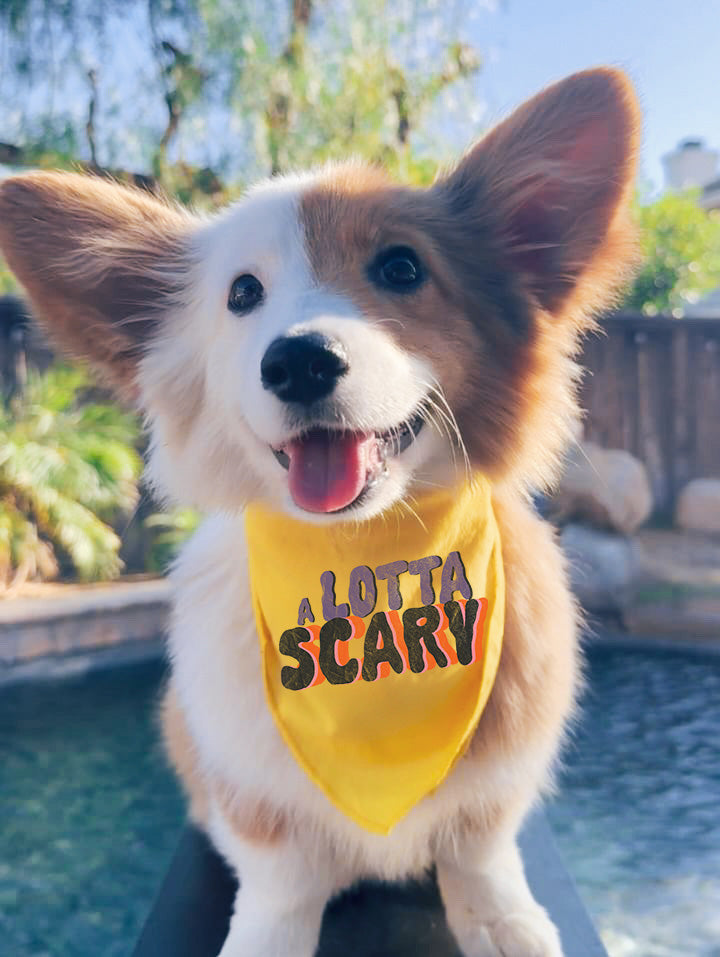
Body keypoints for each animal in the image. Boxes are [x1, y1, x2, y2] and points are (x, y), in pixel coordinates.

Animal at [0, 69, 640, 956]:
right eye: (242, 294)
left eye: (402, 267)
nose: (299, 360)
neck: (365, 559)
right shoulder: (253, 791)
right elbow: (281, 881)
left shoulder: (498, 780)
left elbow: (479, 849)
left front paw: (505, 923)